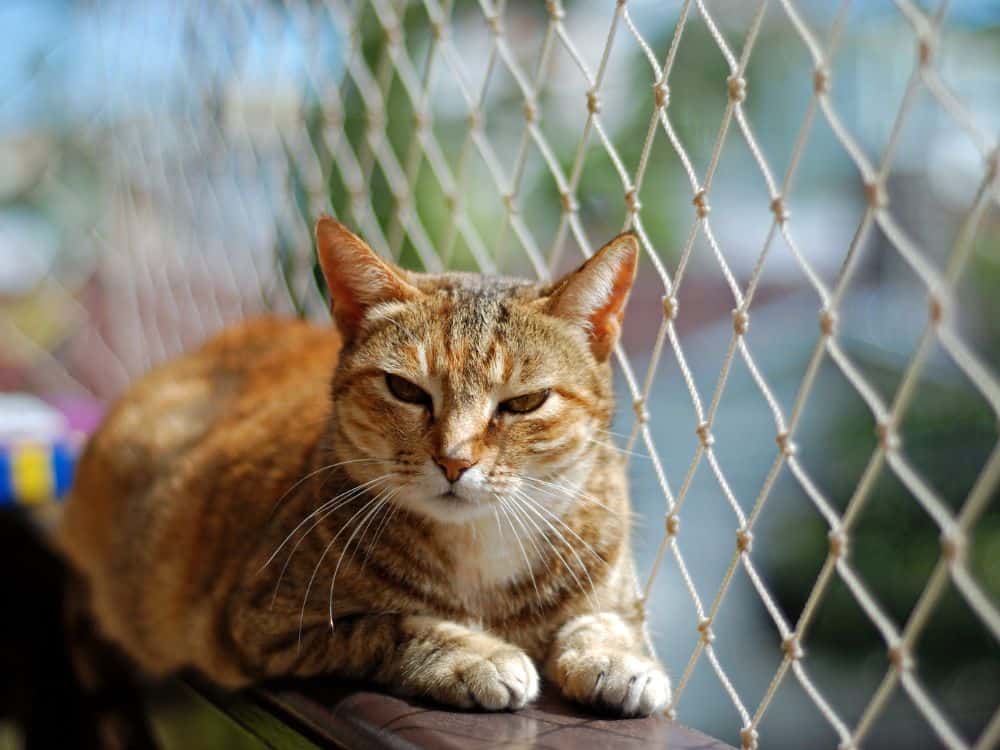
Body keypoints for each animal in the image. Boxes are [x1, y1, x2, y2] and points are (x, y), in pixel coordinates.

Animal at [60, 216, 672, 716]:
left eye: (524, 402)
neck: (480, 552)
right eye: (405, 390)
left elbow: (606, 619)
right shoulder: (260, 623)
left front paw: (617, 658)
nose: (454, 461)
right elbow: (392, 625)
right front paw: (473, 654)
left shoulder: (610, 581)